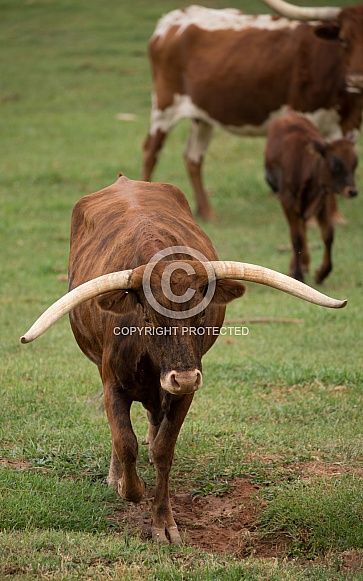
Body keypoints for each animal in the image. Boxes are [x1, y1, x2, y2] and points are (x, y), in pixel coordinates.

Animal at [21, 174, 348, 540]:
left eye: (202, 314)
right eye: (149, 317)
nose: (185, 377)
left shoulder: (185, 392)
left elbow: (164, 449)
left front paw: (163, 523)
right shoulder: (112, 384)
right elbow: (125, 441)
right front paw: (128, 487)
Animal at [141, 0, 363, 220]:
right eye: (343, 39)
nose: (356, 80)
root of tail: (171, 19)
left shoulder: (349, 125)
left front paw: (335, 216)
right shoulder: (304, 116)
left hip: (202, 115)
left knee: (193, 157)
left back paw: (206, 212)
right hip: (165, 106)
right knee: (151, 150)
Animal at [264, 111, 358, 284]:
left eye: (355, 163)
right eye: (335, 164)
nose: (352, 191)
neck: (303, 164)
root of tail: (289, 114)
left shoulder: (323, 199)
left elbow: (328, 235)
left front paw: (322, 273)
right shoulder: (287, 201)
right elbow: (297, 238)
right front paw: (297, 273)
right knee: (299, 231)